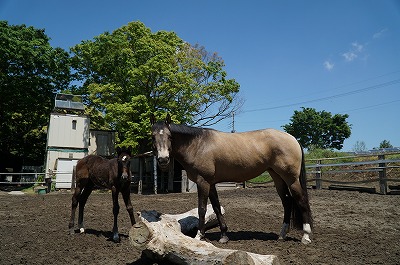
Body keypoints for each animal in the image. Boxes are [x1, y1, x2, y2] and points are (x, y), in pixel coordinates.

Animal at [150, 113, 312, 243]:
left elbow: (202, 209)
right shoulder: (211, 184)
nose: (163, 159)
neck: (198, 145)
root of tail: (293, 138)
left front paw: (199, 235)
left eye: (169, 136)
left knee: (301, 200)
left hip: (291, 179)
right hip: (277, 177)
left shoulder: (203, 182)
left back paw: (306, 236)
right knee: (287, 202)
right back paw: (282, 235)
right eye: (153, 137)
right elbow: (216, 207)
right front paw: (223, 235)